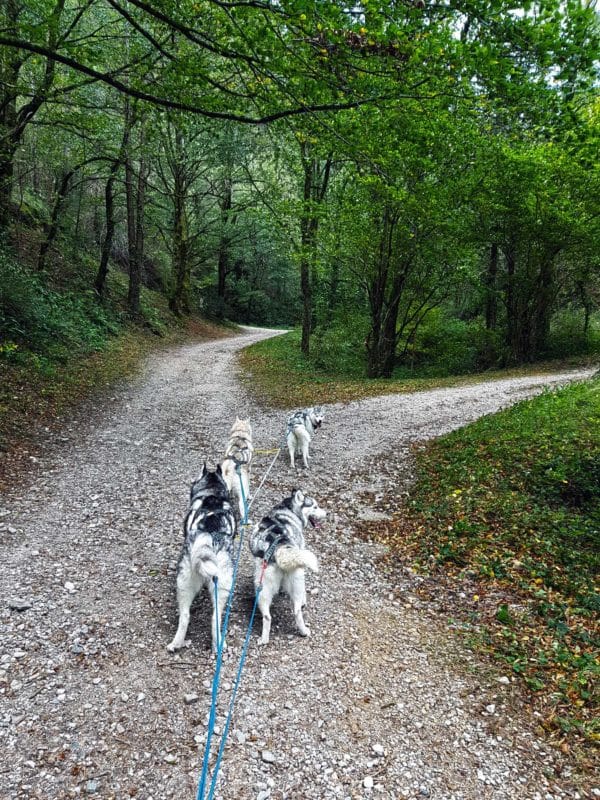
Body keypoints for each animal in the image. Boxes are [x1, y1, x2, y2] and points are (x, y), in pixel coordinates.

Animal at [168, 466, 238, 652]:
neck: (212, 494)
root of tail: (208, 533)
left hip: (186, 583)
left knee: (186, 616)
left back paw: (177, 643)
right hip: (218, 585)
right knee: (214, 618)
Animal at [248, 488, 326, 644]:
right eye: (315, 507)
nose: (326, 513)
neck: (288, 510)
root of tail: (279, 547)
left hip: (263, 590)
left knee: (273, 616)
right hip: (293, 580)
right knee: (293, 610)